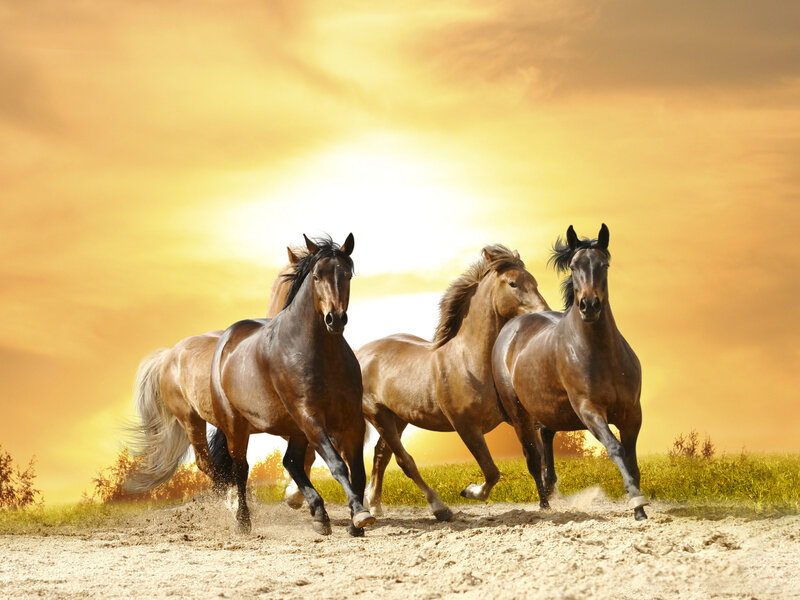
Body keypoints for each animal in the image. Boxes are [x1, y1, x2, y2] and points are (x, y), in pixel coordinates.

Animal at [209, 234, 375, 536]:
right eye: (317, 276)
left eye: (347, 274)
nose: (335, 319)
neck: (320, 353)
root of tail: (226, 339)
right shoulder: (310, 416)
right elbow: (337, 465)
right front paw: (359, 514)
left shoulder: (351, 420)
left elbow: (357, 470)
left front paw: (356, 522)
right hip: (237, 426)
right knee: (242, 469)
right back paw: (243, 521)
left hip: (294, 428)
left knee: (291, 461)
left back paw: (319, 514)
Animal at [359, 245, 550, 521]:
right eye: (513, 283)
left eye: (534, 281)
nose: (544, 312)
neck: (470, 360)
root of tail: (360, 353)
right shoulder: (466, 426)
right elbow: (492, 471)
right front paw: (469, 491)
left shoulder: (519, 418)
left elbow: (534, 459)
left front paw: (548, 504)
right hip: (379, 416)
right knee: (405, 461)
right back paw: (440, 508)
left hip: (398, 418)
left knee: (381, 455)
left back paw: (373, 504)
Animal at [491, 224, 649, 520]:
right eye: (574, 266)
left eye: (604, 264)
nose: (589, 305)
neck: (602, 355)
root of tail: (511, 326)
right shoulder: (589, 410)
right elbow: (616, 448)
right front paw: (637, 502)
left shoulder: (632, 413)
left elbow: (632, 459)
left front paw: (638, 504)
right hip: (520, 414)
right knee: (532, 457)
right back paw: (545, 504)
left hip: (549, 408)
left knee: (546, 437)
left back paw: (550, 487)